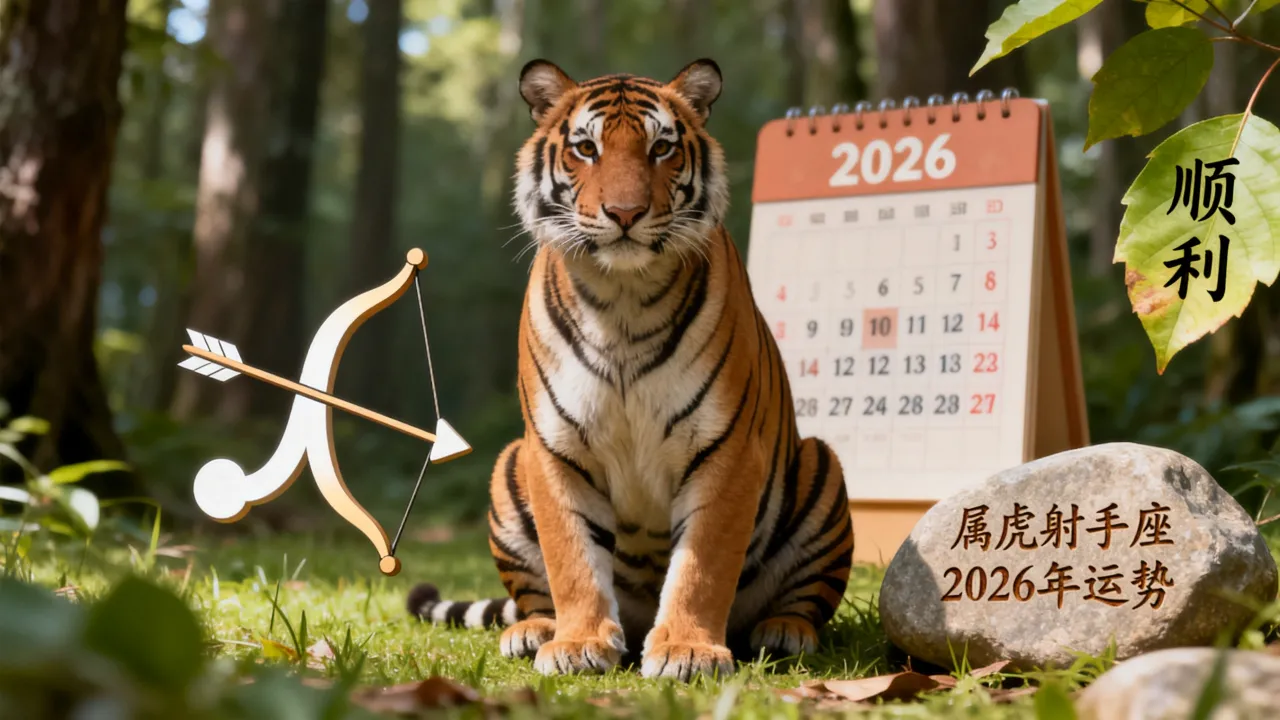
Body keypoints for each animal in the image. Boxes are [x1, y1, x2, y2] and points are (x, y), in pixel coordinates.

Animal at [406, 58, 853, 681]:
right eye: (586, 148)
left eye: (661, 147)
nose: (624, 213)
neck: (622, 300)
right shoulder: (554, 448)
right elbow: (571, 558)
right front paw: (577, 643)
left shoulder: (727, 448)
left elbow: (702, 563)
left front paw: (688, 650)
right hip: (509, 466)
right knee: (535, 594)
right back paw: (533, 631)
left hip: (820, 466)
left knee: (804, 599)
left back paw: (784, 631)